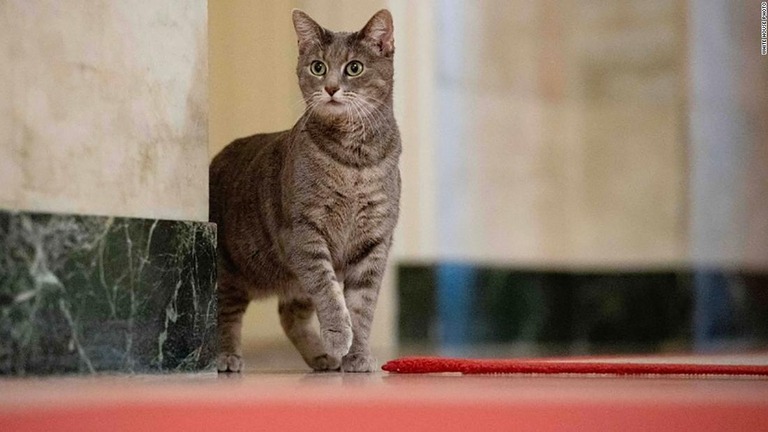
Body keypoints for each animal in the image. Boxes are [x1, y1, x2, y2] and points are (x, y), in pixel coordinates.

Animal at [210, 8, 402, 372]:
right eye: (318, 67)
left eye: (354, 67)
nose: (330, 88)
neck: (354, 162)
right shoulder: (304, 233)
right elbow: (328, 291)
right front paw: (339, 335)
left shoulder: (375, 241)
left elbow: (362, 307)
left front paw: (357, 355)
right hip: (229, 270)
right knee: (225, 314)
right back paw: (226, 356)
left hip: (291, 282)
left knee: (289, 315)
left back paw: (322, 356)